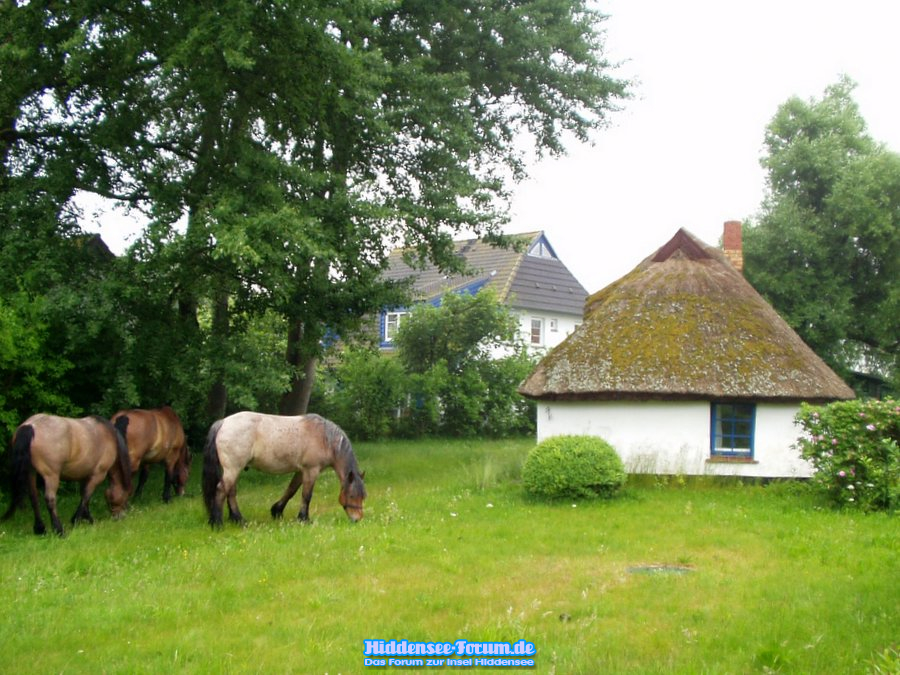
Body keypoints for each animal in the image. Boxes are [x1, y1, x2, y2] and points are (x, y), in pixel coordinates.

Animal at [0, 414, 133, 536]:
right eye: (125, 496)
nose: (120, 517)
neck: (109, 436)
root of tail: (30, 426)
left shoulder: (84, 476)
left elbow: (84, 497)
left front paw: (88, 519)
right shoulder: (97, 475)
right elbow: (86, 496)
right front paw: (76, 520)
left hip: (30, 473)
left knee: (34, 498)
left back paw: (40, 529)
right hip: (51, 476)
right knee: (50, 499)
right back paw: (59, 530)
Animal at [203, 412, 366, 528]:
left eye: (363, 497)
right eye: (352, 496)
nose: (357, 519)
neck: (324, 439)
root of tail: (223, 422)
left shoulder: (301, 471)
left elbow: (291, 491)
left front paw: (277, 511)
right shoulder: (311, 471)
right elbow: (306, 495)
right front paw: (304, 519)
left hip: (234, 469)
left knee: (231, 492)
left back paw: (238, 520)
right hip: (233, 469)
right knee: (221, 490)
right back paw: (217, 523)